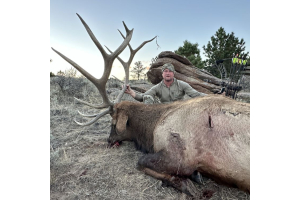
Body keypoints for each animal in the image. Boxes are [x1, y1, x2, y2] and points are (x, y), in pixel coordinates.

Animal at [52, 14, 250, 197]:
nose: (108, 140)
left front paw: (186, 184)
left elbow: (141, 162)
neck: (151, 128)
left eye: (113, 123)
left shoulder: (180, 157)